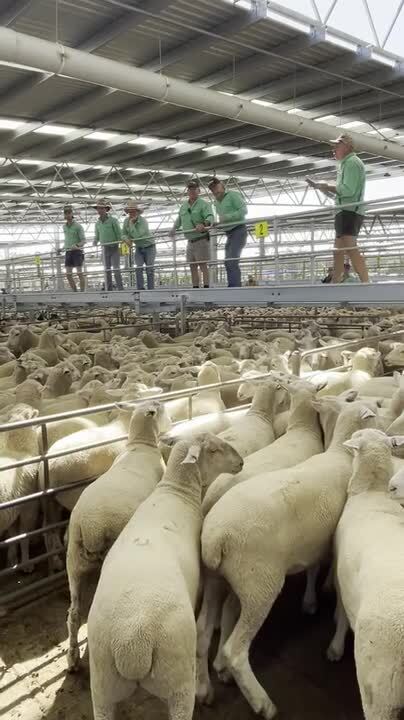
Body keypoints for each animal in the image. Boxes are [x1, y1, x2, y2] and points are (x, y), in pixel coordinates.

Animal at [64, 402, 170, 672]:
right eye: (163, 409)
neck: (140, 444)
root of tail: (90, 526)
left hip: (73, 562)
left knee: (74, 614)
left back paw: (73, 659)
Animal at [86, 434, 243, 720]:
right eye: (214, 450)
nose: (241, 462)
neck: (176, 491)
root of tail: (132, 645)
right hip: (177, 681)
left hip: (102, 686)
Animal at [202, 400, 378, 716]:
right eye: (376, 409)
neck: (341, 454)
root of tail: (216, 539)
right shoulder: (333, 545)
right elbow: (333, 583)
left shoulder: (313, 543)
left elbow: (313, 568)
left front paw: (311, 601)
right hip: (260, 584)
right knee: (236, 650)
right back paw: (262, 703)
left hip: (219, 579)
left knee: (205, 630)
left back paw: (210, 680)